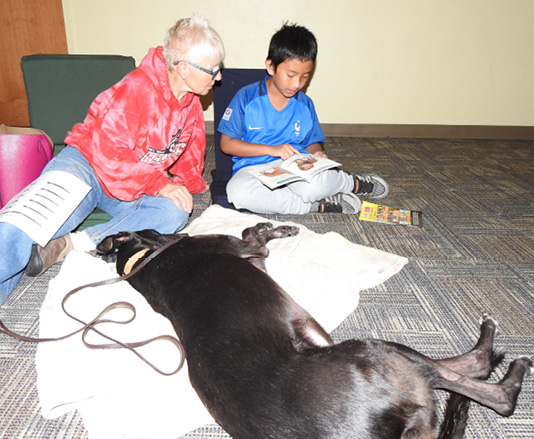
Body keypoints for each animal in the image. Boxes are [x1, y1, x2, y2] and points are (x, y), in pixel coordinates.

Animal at [97, 225, 534, 438]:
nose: (179, 232)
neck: (145, 262)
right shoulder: (247, 250)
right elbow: (255, 235)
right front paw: (277, 226)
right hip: (380, 352)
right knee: (487, 384)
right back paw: (499, 352)